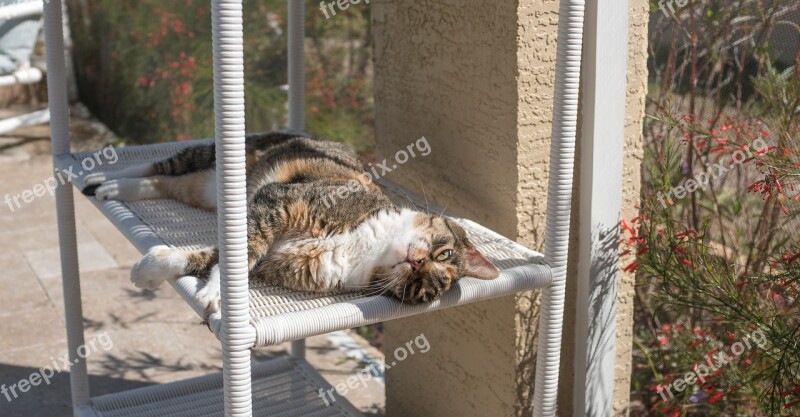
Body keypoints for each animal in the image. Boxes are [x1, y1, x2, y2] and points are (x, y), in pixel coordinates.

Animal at [79, 131, 494, 312]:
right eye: (444, 254)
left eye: (421, 289)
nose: (418, 262)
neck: (366, 248)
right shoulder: (278, 203)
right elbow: (234, 256)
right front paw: (213, 293)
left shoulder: (273, 260)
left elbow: (213, 256)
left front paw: (151, 271)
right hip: (219, 153)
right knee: (159, 165)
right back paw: (104, 176)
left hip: (203, 191)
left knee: (166, 183)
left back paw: (113, 188)